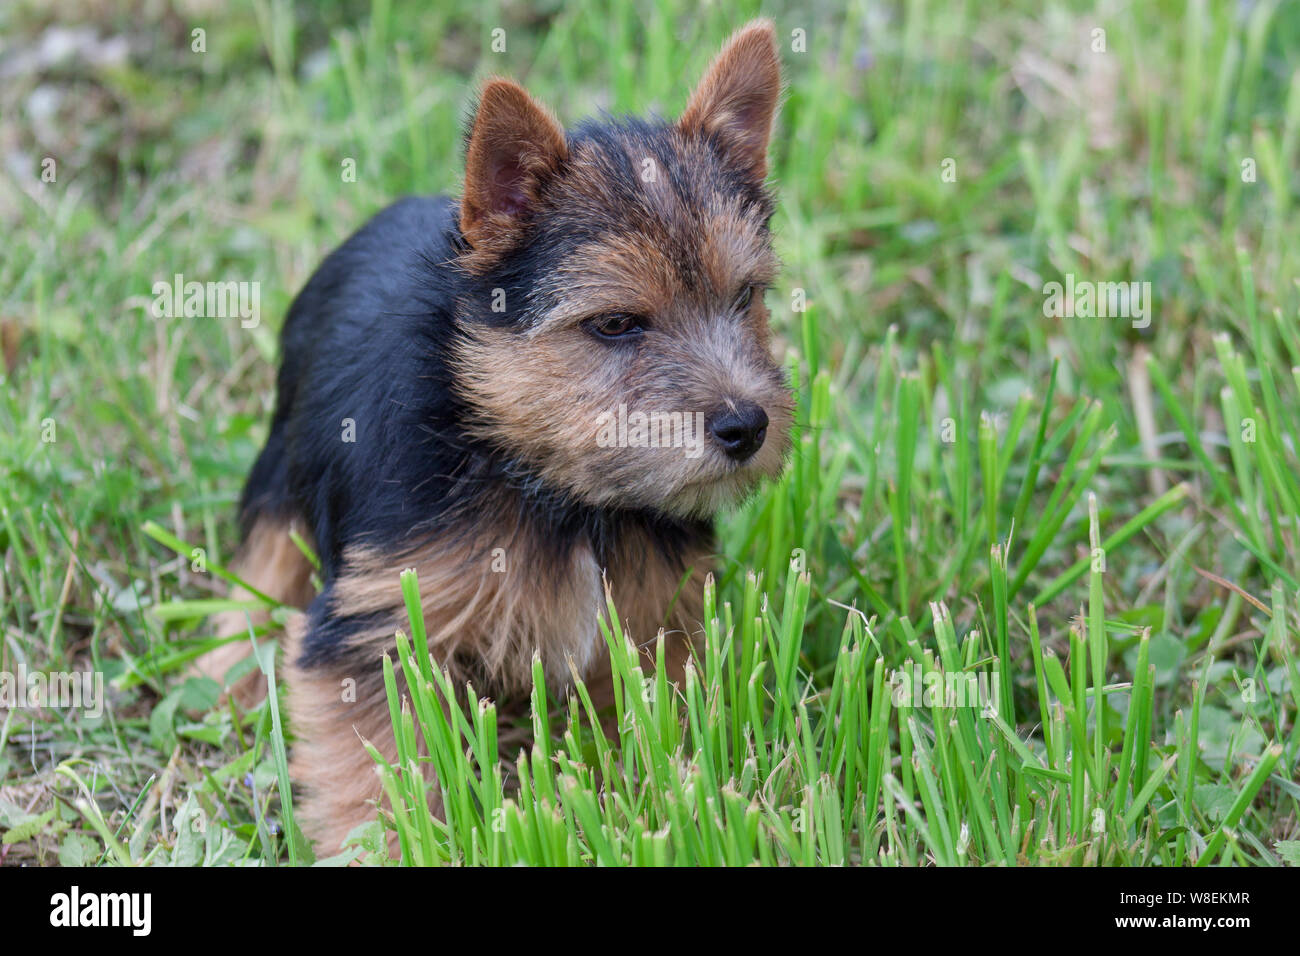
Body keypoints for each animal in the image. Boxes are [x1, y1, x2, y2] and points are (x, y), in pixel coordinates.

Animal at [202, 18, 790, 848]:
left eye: (745, 299)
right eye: (615, 324)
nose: (747, 426)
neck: (549, 487)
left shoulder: (657, 618)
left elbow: (654, 722)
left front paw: (665, 803)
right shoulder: (377, 623)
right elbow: (370, 765)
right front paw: (384, 846)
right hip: (285, 462)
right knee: (265, 559)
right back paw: (226, 671)